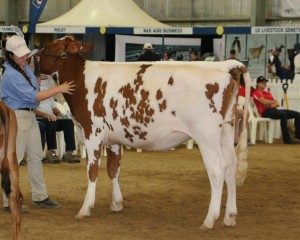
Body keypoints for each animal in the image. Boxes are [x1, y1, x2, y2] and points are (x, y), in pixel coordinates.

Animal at [39, 36, 251, 230]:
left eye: (47, 48)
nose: (35, 61)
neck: (81, 81)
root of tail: (225, 66)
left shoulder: (93, 134)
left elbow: (92, 171)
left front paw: (85, 208)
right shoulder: (113, 139)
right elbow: (113, 169)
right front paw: (116, 203)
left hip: (206, 134)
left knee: (218, 169)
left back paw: (209, 220)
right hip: (226, 131)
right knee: (231, 166)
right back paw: (230, 216)